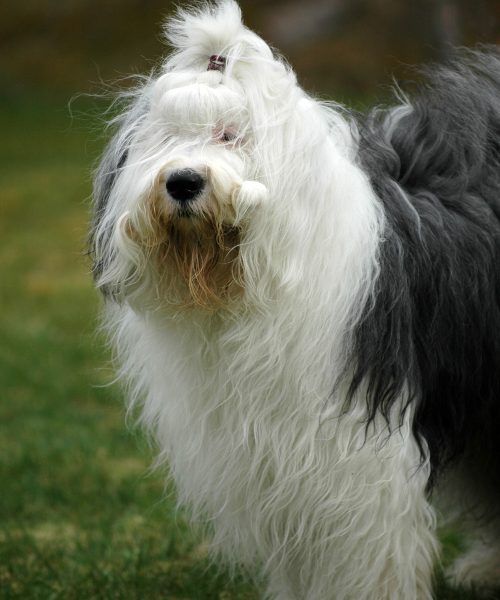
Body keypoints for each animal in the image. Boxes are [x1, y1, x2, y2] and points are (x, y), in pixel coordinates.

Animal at [89, 2, 500, 596]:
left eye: (232, 134)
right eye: (165, 135)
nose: (183, 182)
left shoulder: (354, 447)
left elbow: (370, 544)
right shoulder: (270, 461)